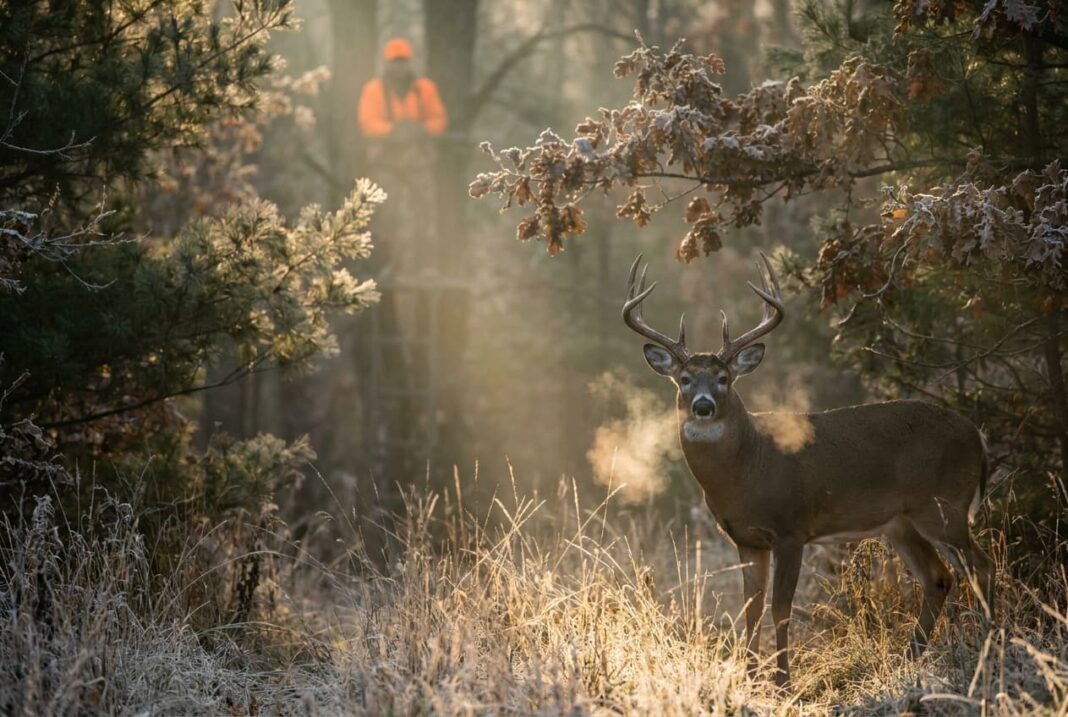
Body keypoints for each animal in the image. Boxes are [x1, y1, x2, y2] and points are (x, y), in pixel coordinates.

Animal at [622, 253, 994, 687]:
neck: (748, 468)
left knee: (981, 566)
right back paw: (912, 657)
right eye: (683, 379)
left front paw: (782, 679)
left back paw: (990, 645)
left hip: (943, 506)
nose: (702, 405)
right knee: (938, 578)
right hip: (902, 523)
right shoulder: (747, 538)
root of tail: (977, 436)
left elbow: (780, 606)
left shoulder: (792, 527)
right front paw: (749, 675)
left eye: (723, 378)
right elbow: (751, 607)